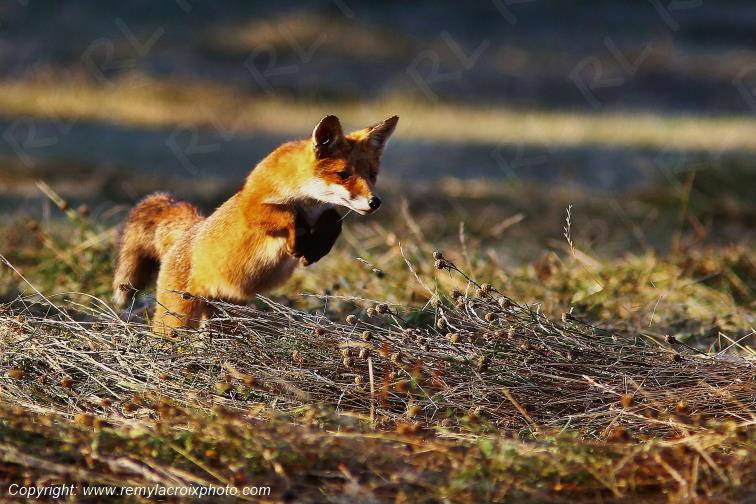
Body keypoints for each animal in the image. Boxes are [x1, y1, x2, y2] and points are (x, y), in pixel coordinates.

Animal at [113, 114, 398, 335]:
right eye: (343, 174)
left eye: (372, 175)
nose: (375, 202)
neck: (307, 201)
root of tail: (190, 229)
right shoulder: (251, 208)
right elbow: (287, 214)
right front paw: (297, 242)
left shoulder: (322, 211)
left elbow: (334, 219)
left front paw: (315, 249)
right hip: (177, 320)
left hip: (225, 316)